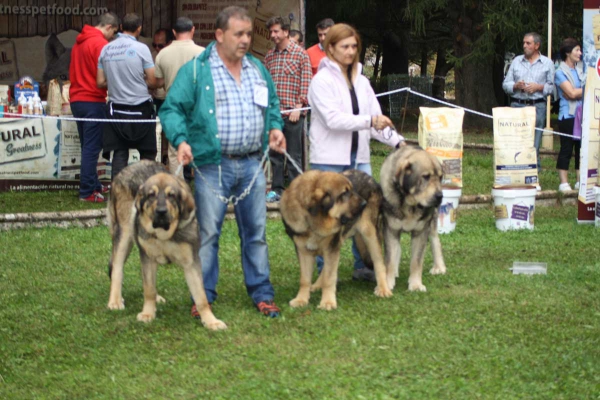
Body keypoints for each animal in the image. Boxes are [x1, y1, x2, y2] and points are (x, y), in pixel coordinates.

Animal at [380, 145, 446, 292]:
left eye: (440, 178)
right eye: (426, 177)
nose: (440, 196)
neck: (410, 205)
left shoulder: (421, 231)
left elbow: (417, 261)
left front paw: (415, 285)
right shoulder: (391, 229)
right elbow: (390, 259)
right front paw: (388, 281)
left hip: (432, 222)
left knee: (435, 240)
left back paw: (439, 267)